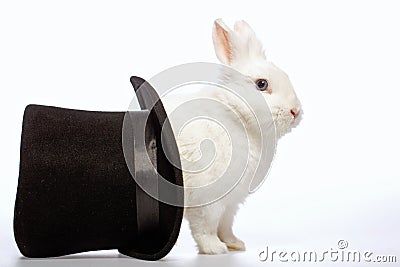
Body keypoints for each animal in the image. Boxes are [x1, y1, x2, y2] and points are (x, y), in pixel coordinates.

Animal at [161, 19, 302, 255]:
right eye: (261, 84)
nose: (295, 111)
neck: (236, 115)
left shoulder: (231, 204)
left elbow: (225, 225)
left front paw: (235, 244)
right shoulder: (208, 201)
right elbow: (205, 228)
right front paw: (215, 249)